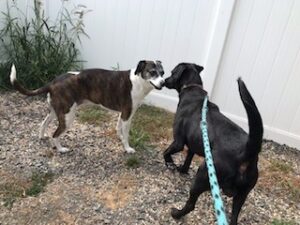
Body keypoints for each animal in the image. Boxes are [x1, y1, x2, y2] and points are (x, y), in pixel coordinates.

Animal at [9, 60, 164, 153]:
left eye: (162, 73)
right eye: (152, 72)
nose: (163, 83)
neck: (138, 80)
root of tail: (53, 82)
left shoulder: (123, 114)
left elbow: (119, 128)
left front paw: (120, 138)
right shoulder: (127, 114)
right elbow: (126, 134)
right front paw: (127, 148)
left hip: (56, 111)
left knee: (43, 123)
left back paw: (41, 136)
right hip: (68, 117)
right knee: (55, 134)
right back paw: (61, 149)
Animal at [163, 62, 264, 225]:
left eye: (172, 72)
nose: (164, 80)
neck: (192, 88)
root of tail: (246, 153)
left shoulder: (178, 142)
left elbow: (166, 152)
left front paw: (170, 163)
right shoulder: (193, 143)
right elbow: (188, 158)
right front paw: (183, 170)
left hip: (203, 174)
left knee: (191, 204)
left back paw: (176, 213)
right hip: (242, 195)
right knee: (234, 217)